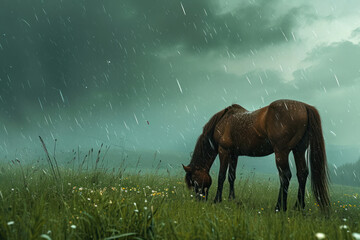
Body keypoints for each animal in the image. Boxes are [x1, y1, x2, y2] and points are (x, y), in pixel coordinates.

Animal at [183, 99, 330, 212]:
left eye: (194, 180)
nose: (199, 200)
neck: (223, 120)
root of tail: (304, 106)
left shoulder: (223, 151)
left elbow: (221, 176)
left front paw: (217, 200)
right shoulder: (234, 154)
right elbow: (231, 176)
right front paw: (231, 199)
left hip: (281, 152)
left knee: (285, 176)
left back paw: (279, 207)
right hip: (298, 150)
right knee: (302, 174)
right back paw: (298, 207)